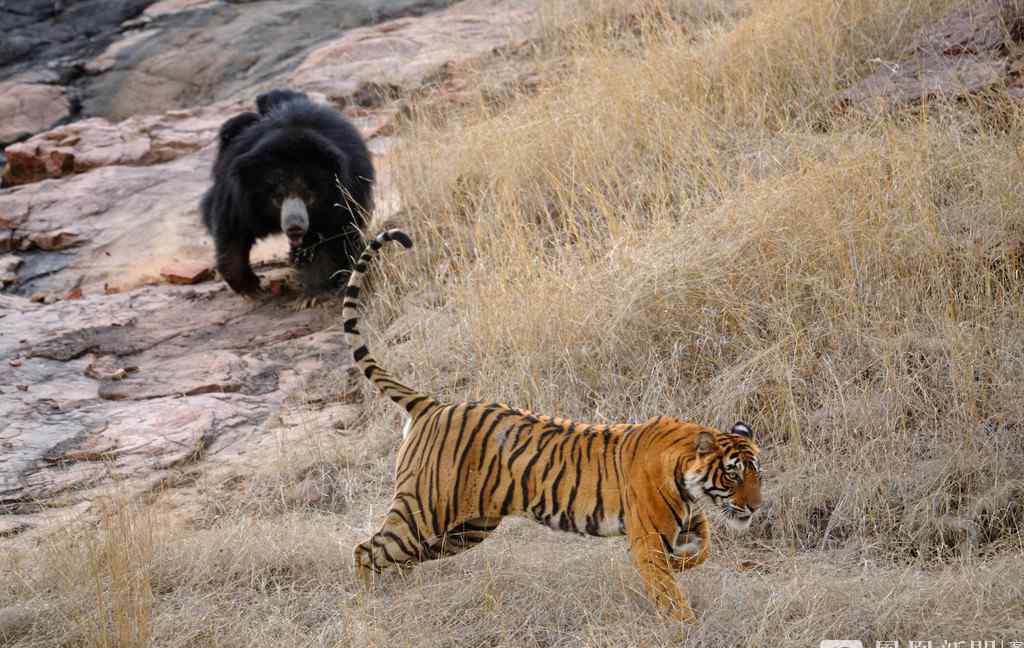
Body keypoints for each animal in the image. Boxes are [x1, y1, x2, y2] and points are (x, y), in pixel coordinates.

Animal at [200, 88, 376, 294]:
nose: (294, 227)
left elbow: (338, 232)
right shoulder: (237, 195)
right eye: (277, 197)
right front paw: (249, 287)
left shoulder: (348, 192)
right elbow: (232, 230)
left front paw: (317, 286)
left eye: (309, 196)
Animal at [342, 228, 761, 622]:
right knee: (366, 550)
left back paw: (399, 590)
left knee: (400, 556)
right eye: (733, 475)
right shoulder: (647, 537)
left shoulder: (688, 521)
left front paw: (684, 562)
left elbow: (703, 548)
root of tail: (432, 404)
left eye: (759, 475)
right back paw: (368, 603)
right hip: (424, 511)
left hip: (466, 528)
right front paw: (684, 625)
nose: (756, 508)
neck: (688, 479)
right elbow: (667, 590)